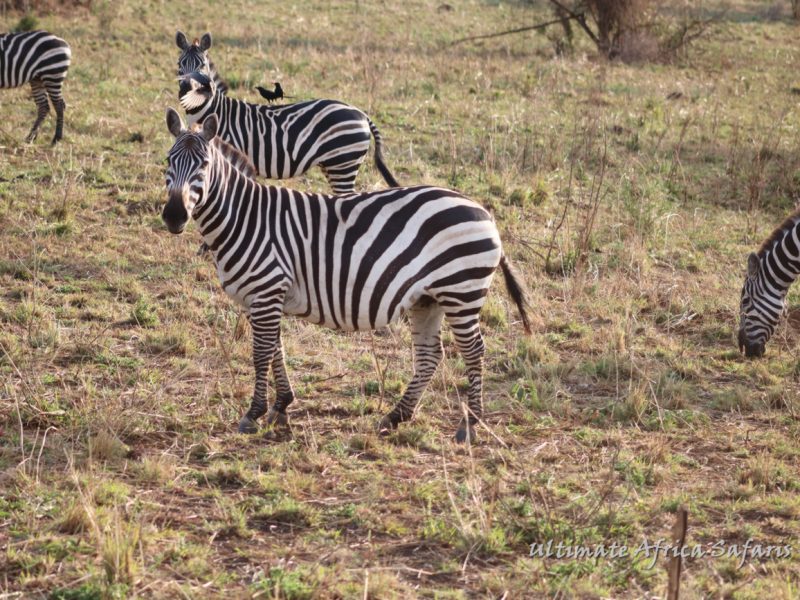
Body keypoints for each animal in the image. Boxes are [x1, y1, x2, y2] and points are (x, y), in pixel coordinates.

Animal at [161, 110, 532, 442]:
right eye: (168, 161)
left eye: (203, 165)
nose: (174, 216)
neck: (244, 217)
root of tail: (483, 211)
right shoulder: (265, 298)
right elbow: (277, 348)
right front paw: (281, 407)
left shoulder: (266, 291)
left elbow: (262, 353)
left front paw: (254, 414)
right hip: (429, 299)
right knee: (430, 356)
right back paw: (396, 416)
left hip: (461, 291)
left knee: (474, 351)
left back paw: (470, 425)